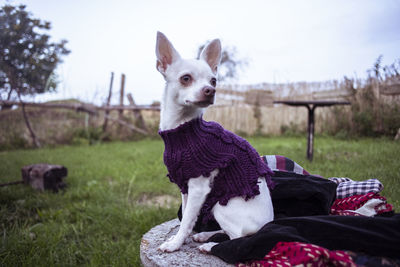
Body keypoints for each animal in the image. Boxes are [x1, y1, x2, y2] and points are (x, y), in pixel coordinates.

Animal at [155, 31, 274, 253]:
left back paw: (210, 246)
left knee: (238, 238)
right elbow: (187, 217)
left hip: (221, 206)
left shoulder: (198, 188)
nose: (210, 90)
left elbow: (186, 220)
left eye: (213, 80)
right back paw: (204, 236)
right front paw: (181, 238)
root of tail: (265, 226)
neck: (183, 130)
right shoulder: (185, 187)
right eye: (186, 78)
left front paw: (175, 244)